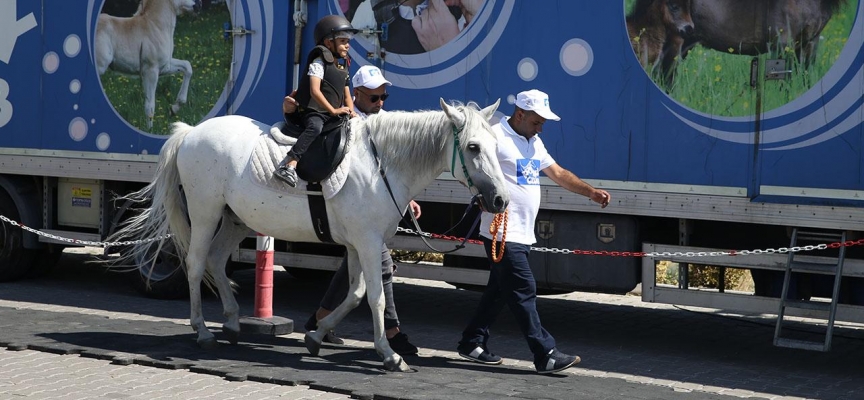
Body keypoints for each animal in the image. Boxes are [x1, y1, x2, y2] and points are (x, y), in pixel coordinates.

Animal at [95, 0, 199, 129]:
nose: (198, 5)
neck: (154, 26)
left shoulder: (164, 66)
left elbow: (187, 67)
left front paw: (174, 108)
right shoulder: (151, 70)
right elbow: (150, 105)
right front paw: (150, 130)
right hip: (100, 66)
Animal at [111, 99, 510, 372]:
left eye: (495, 147)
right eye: (473, 147)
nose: (500, 200)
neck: (383, 166)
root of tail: (191, 132)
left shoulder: (359, 245)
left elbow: (355, 294)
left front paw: (317, 336)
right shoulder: (368, 243)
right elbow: (377, 299)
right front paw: (389, 354)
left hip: (236, 220)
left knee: (216, 260)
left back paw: (232, 322)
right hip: (205, 212)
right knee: (195, 264)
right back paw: (204, 331)